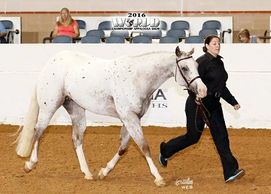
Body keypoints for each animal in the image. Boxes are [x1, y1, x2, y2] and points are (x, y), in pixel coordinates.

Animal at [16, 45, 208, 186]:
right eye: (184, 68)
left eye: (197, 66)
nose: (203, 90)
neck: (137, 78)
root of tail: (51, 62)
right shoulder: (130, 117)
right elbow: (144, 146)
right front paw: (159, 178)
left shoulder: (131, 118)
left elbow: (123, 148)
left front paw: (103, 172)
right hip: (49, 107)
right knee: (38, 132)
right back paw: (29, 164)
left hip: (76, 110)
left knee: (76, 139)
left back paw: (88, 173)